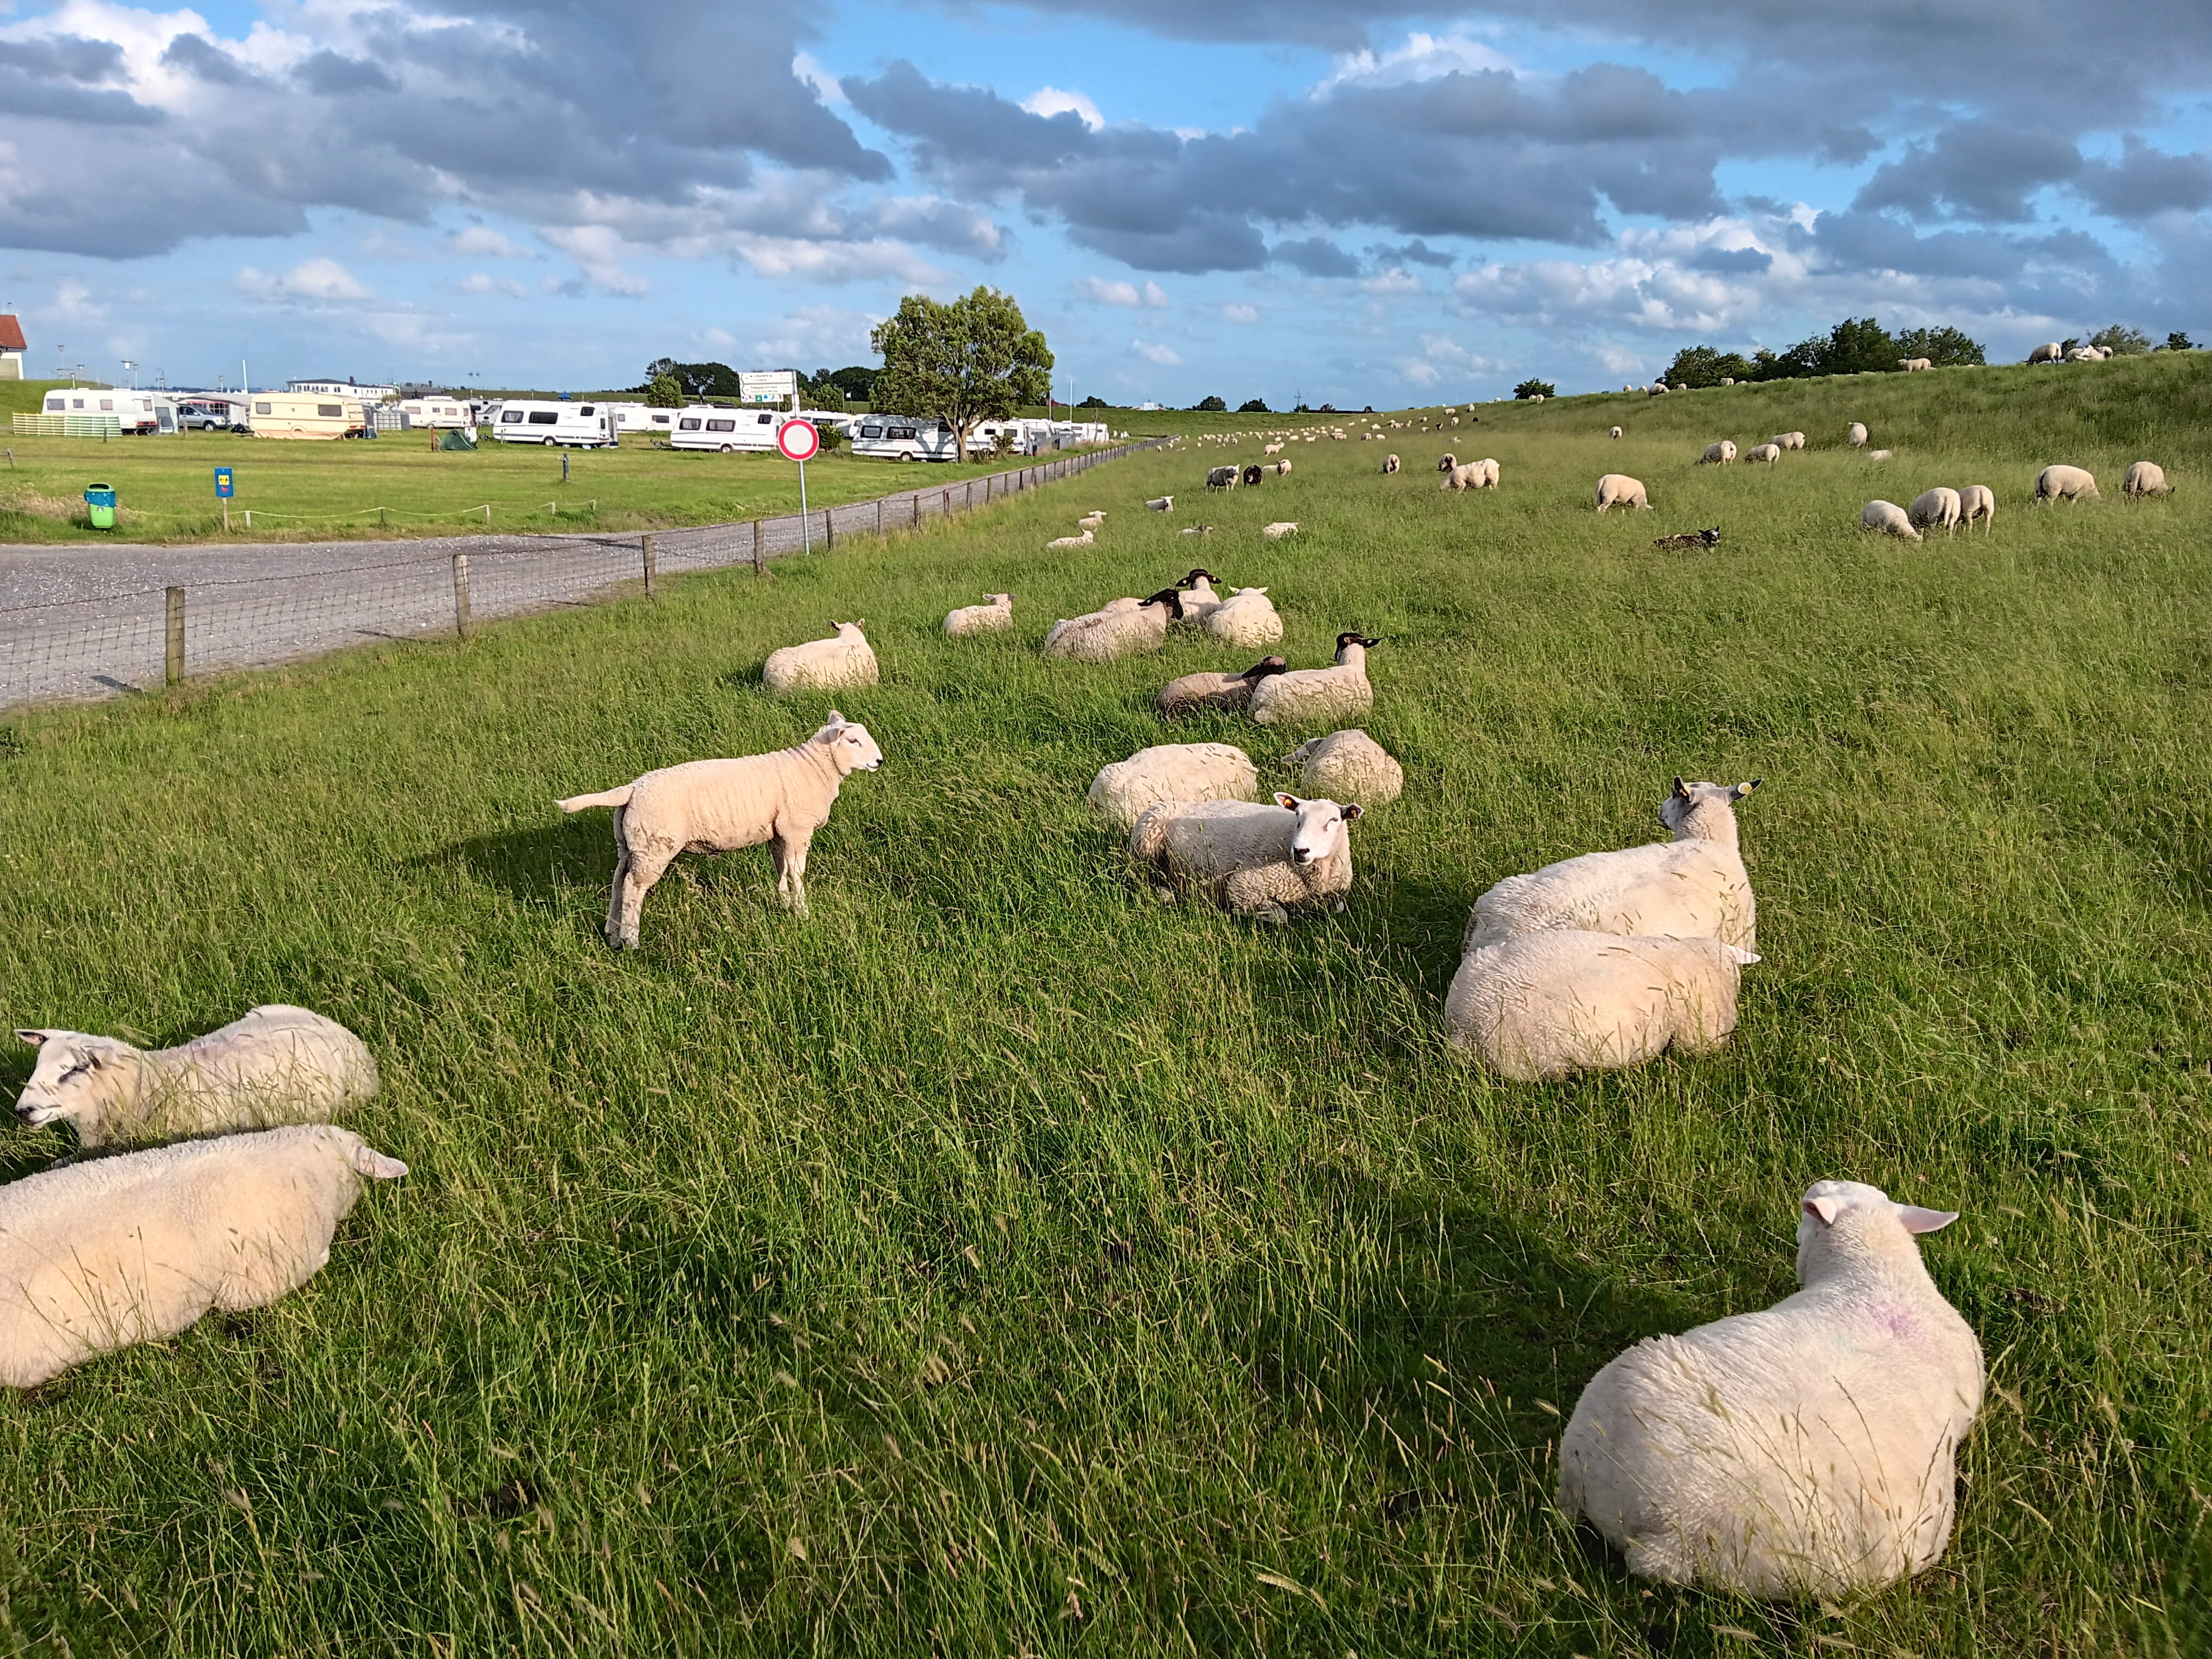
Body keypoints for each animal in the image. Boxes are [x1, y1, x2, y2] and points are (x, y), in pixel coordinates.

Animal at [557, 712, 883, 940]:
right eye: (853, 741)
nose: (880, 761)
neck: (814, 768)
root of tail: (634, 788)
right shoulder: (796, 829)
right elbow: (797, 873)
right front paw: (803, 912)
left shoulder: (778, 832)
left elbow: (781, 870)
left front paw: (784, 904)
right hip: (654, 847)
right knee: (633, 888)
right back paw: (630, 940)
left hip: (630, 844)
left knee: (618, 880)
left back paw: (612, 934)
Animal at [1130, 793, 1362, 924]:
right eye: (1297, 816)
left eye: (1333, 820)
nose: (1300, 851)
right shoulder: (1245, 884)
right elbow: (1281, 916)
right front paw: (1238, 911)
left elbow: (1339, 908)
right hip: (1145, 842)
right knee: (1141, 881)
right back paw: (1167, 894)